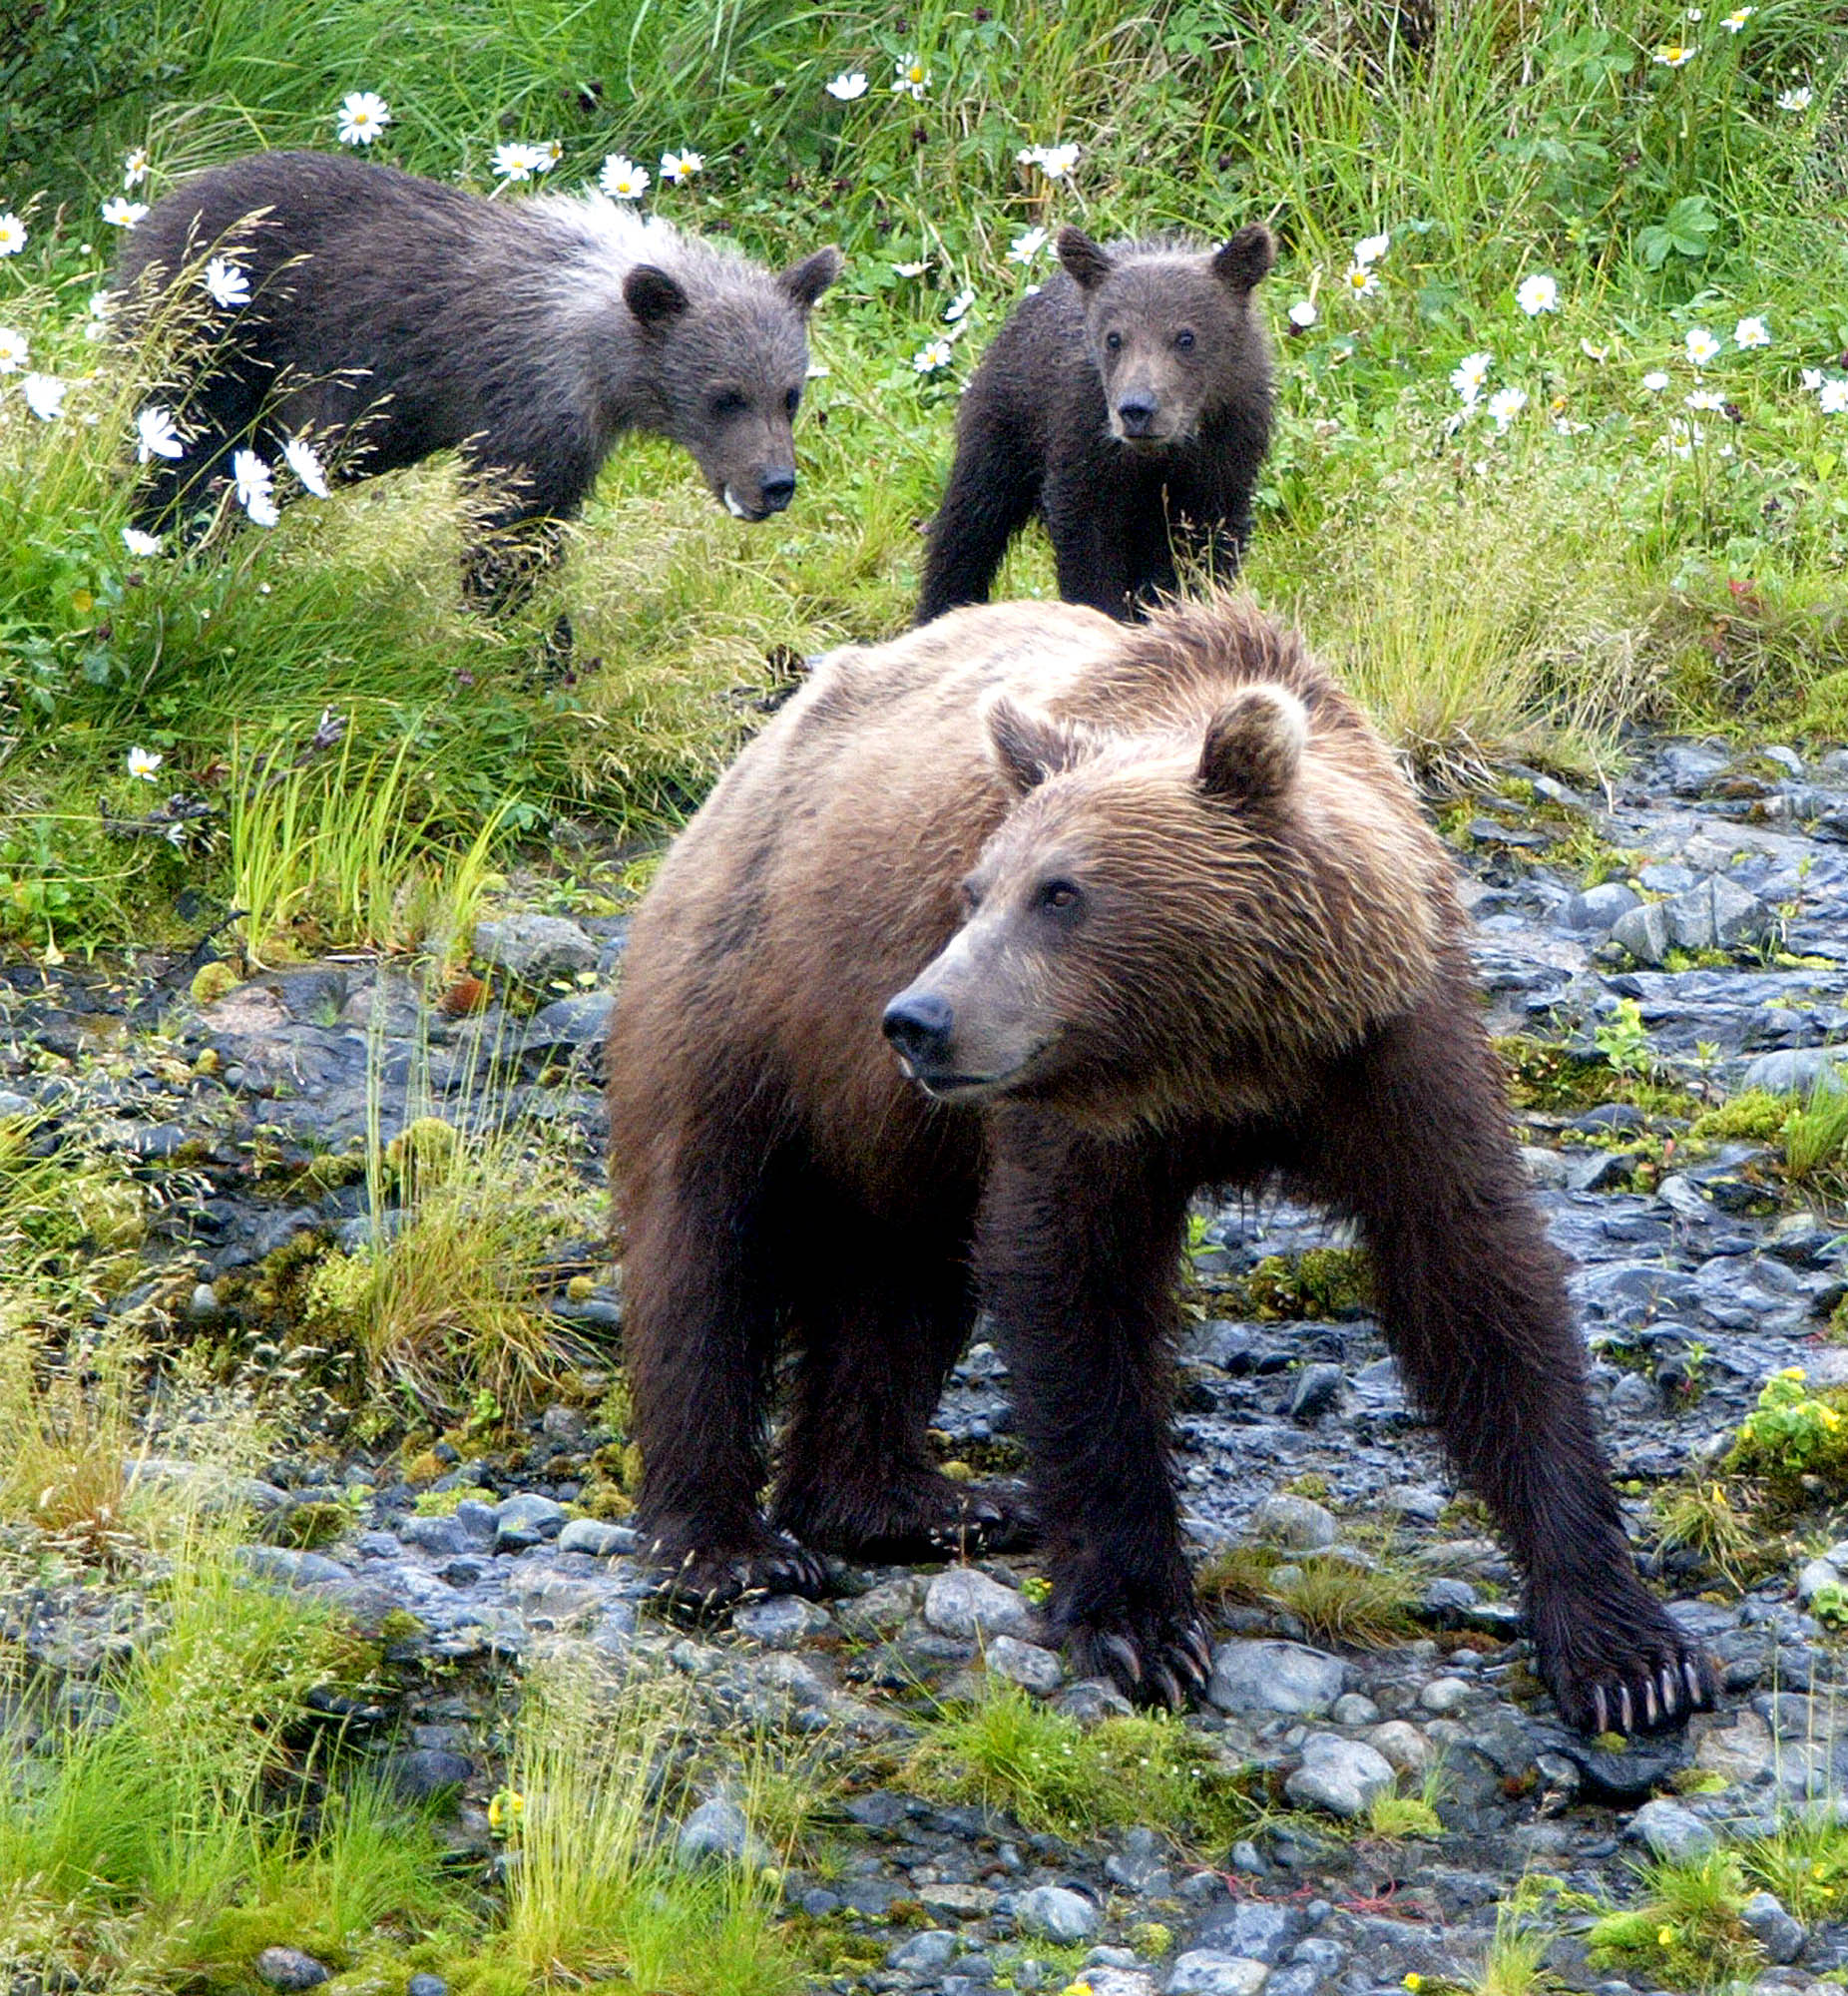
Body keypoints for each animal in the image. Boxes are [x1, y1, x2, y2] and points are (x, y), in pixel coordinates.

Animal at [113, 149, 841, 607]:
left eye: (789, 394)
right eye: (725, 397)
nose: (774, 484)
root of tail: (159, 209)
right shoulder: (526, 408)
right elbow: (507, 529)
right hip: (217, 340)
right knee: (183, 456)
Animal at [604, 591, 1716, 1736]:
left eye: (1060, 893)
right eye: (975, 889)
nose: (918, 1020)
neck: (1225, 1053)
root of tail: (751, 761)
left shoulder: (1393, 1051)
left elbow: (1476, 1279)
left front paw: (1629, 1653)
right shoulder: (1076, 1113)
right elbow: (1072, 1289)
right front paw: (1141, 1624)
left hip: (896, 1131)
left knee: (900, 1273)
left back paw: (913, 1502)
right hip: (741, 1003)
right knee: (706, 1255)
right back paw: (728, 1550)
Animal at [916, 224, 1274, 625]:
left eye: (1186, 336)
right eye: (1114, 337)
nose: (1137, 409)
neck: (1158, 457)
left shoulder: (1224, 459)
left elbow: (1208, 550)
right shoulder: (1084, 450)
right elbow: (1087, 548)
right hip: (1005, 425)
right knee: (972, 520)